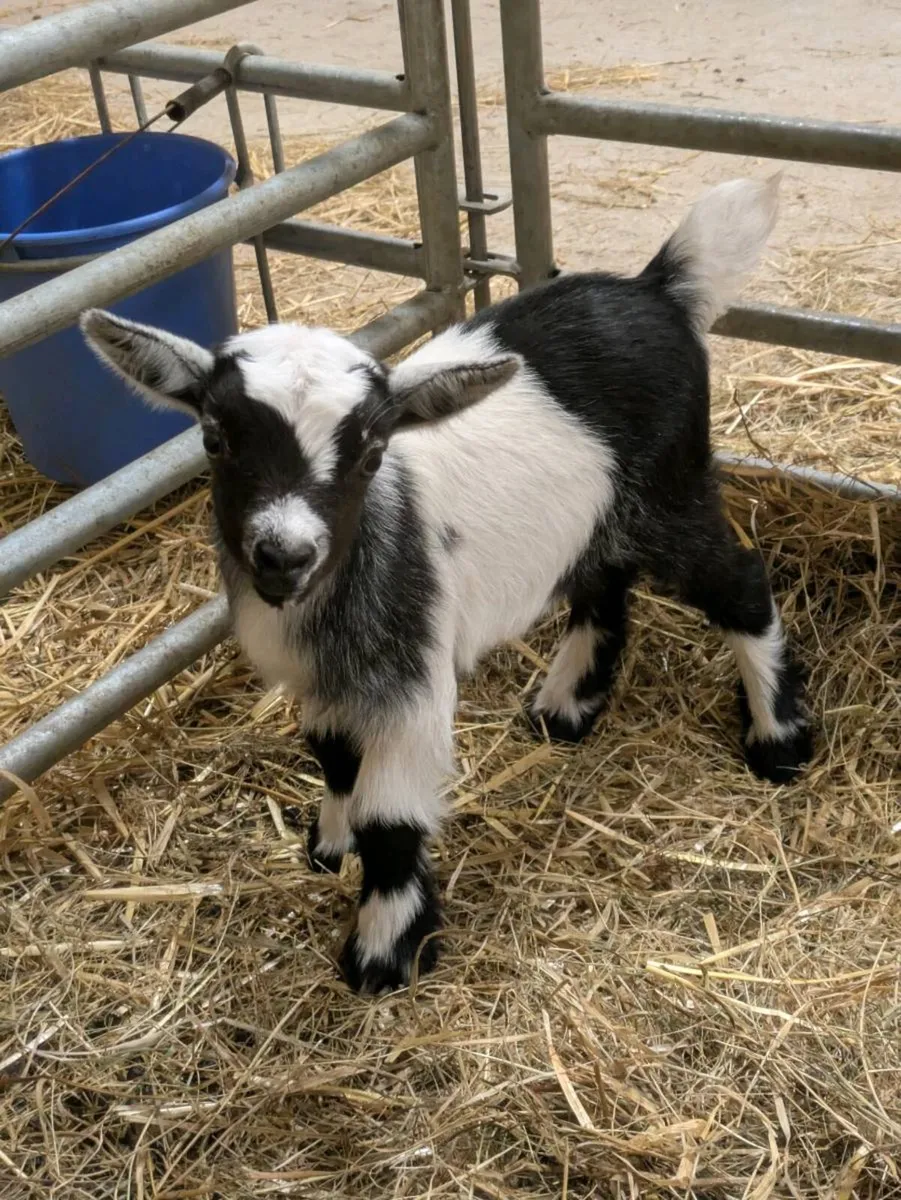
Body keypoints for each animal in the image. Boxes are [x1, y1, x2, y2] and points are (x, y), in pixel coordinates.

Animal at [81, 173, 812, 993]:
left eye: (371, 452)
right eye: (213, 438)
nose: (283, 555)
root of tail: (657, 287)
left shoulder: (410, 680)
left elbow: (390, 821)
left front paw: (384, 951)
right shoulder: (326, 678)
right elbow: (331, 753)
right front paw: (327, 846)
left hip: (670, 490)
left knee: (740, 585)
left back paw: (777, 740)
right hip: (599, 513)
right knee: (602, 585)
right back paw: (564, 709)